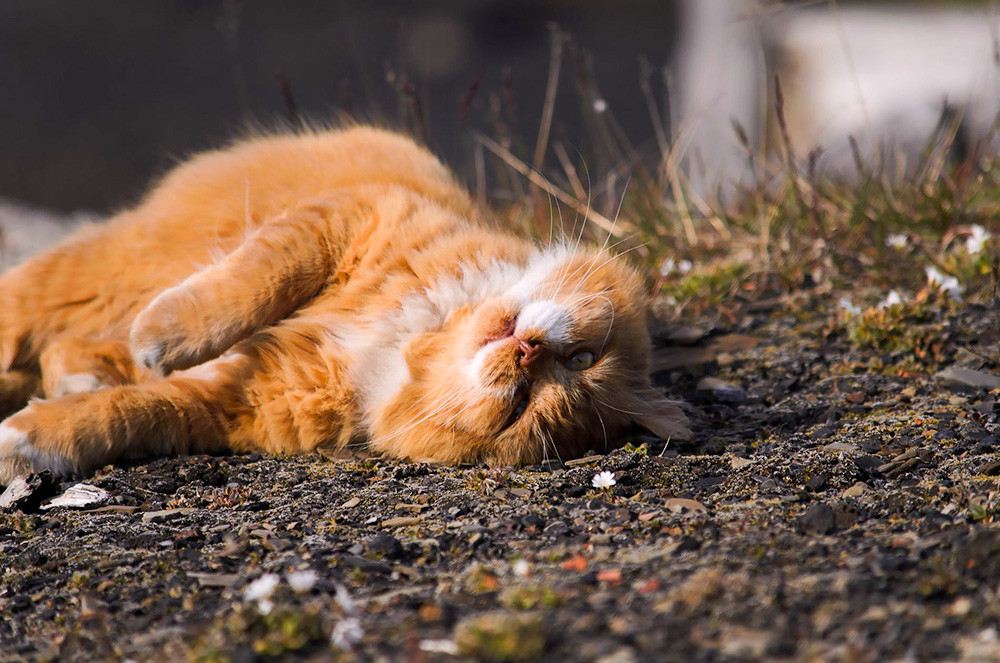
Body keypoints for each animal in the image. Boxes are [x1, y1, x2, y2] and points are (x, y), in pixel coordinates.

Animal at [0, 127, 688, 486]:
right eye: (582, 358)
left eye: (523, 405)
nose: (526, 350)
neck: (409, 336)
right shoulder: (346, 221)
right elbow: (248, 287)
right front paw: (165, 334)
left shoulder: (228, 402)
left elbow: (124, 414)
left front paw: (29, 437)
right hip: (112, 264)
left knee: (72, 353)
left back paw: (82, 375)